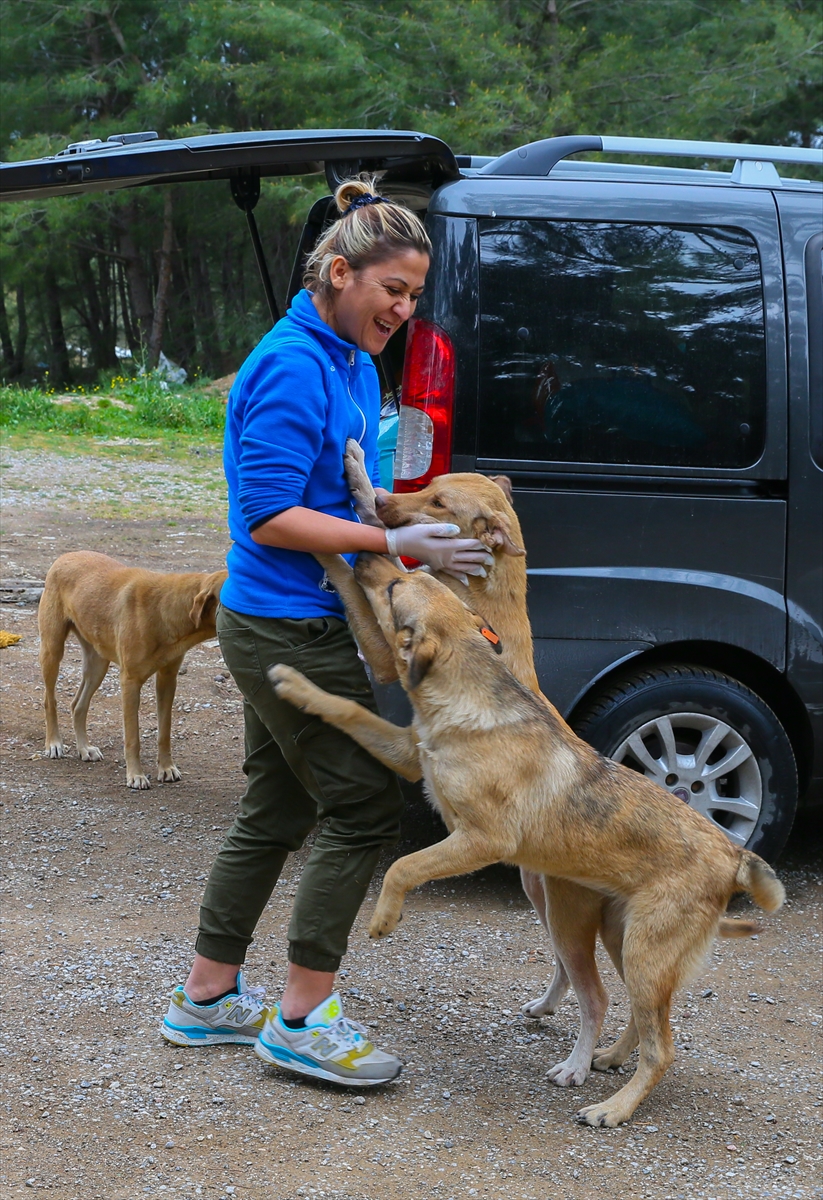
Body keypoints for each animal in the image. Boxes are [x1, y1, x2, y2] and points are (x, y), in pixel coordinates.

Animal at [37, 549, 225, 787]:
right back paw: (54, 743)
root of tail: (67, 554)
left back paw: (85, 748)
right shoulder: (130, 682)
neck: (165, 607)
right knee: (49, 700)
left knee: (77, 705)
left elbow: (164, 732)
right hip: (52, 649)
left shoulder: (167, 679)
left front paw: (166, 768)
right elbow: (133, 737)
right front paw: (135, 775)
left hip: (97, 664)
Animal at [272, 556, 787, 1128]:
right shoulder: (408, 754)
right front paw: (296, 685)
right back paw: (609, 1057)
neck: (467, 698)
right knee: (640, 1017)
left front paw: (385, 918)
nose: (364, 557)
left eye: (394, 588)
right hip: (621, 942)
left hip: (634, 948)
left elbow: (404, 866)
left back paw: (613, 1106)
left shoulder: (480, 840)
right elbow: (347, 711)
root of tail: (735, 854)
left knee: (655, 1042)